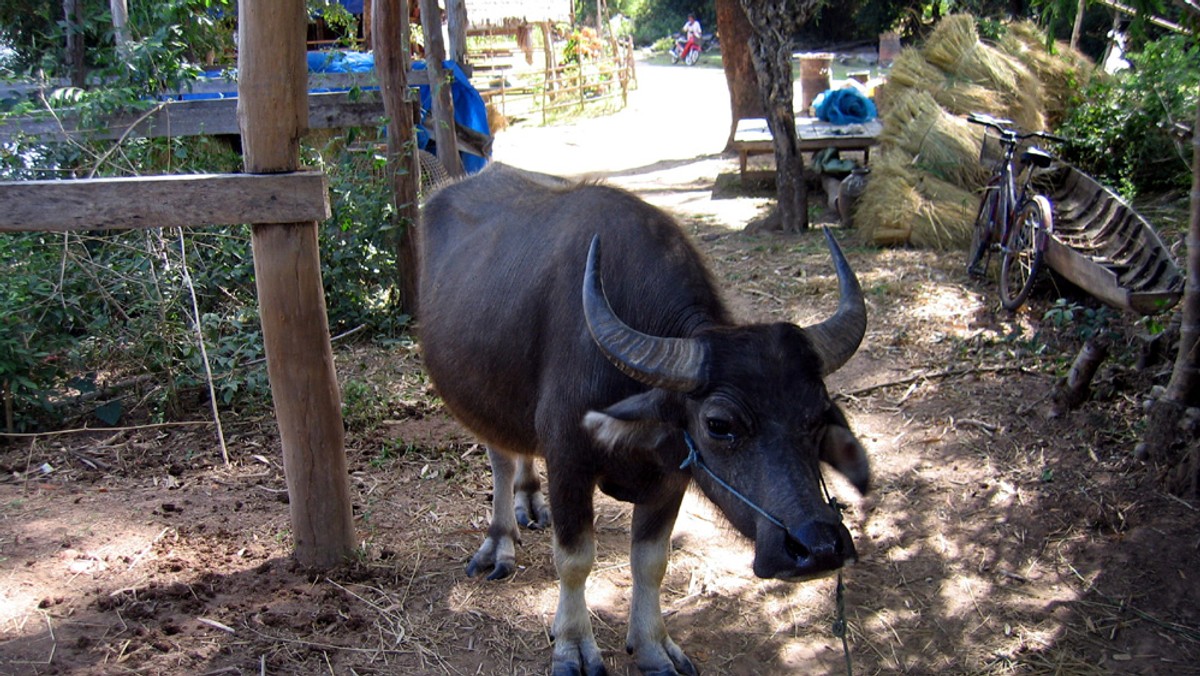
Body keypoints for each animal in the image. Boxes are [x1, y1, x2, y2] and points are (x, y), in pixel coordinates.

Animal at [417, 164, 868, 676]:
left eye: (817, 417)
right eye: (719, 424)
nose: (819, 547)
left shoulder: (671, 476)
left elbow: (652, 562)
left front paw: (653, 646)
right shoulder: (569, 461)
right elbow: (574, 559)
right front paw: (572, 644)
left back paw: (529, 501)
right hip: (477, 395)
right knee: (500, 456)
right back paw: (499, 542)